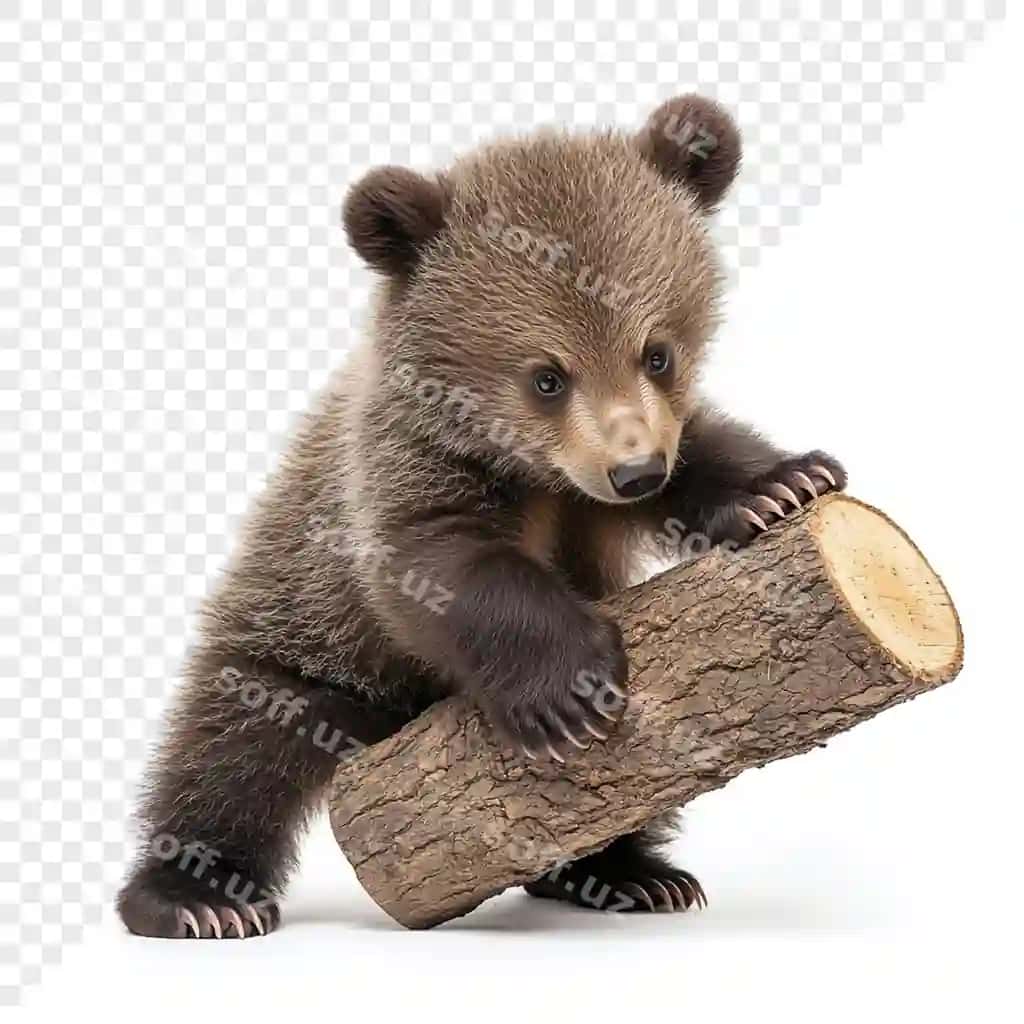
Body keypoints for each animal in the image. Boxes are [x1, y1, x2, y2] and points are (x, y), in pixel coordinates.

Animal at [117, 94, 846, 938]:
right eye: (546, 376)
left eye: (657, 351)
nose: (633, 472)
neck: (538, 477)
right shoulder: (407, 468)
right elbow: (443, 562)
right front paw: (568, 688)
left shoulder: (608, 481)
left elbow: (705, 449)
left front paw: (783, 485)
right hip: (296, 647)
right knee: (229, 757)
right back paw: (196, 896)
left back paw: (628, 870)